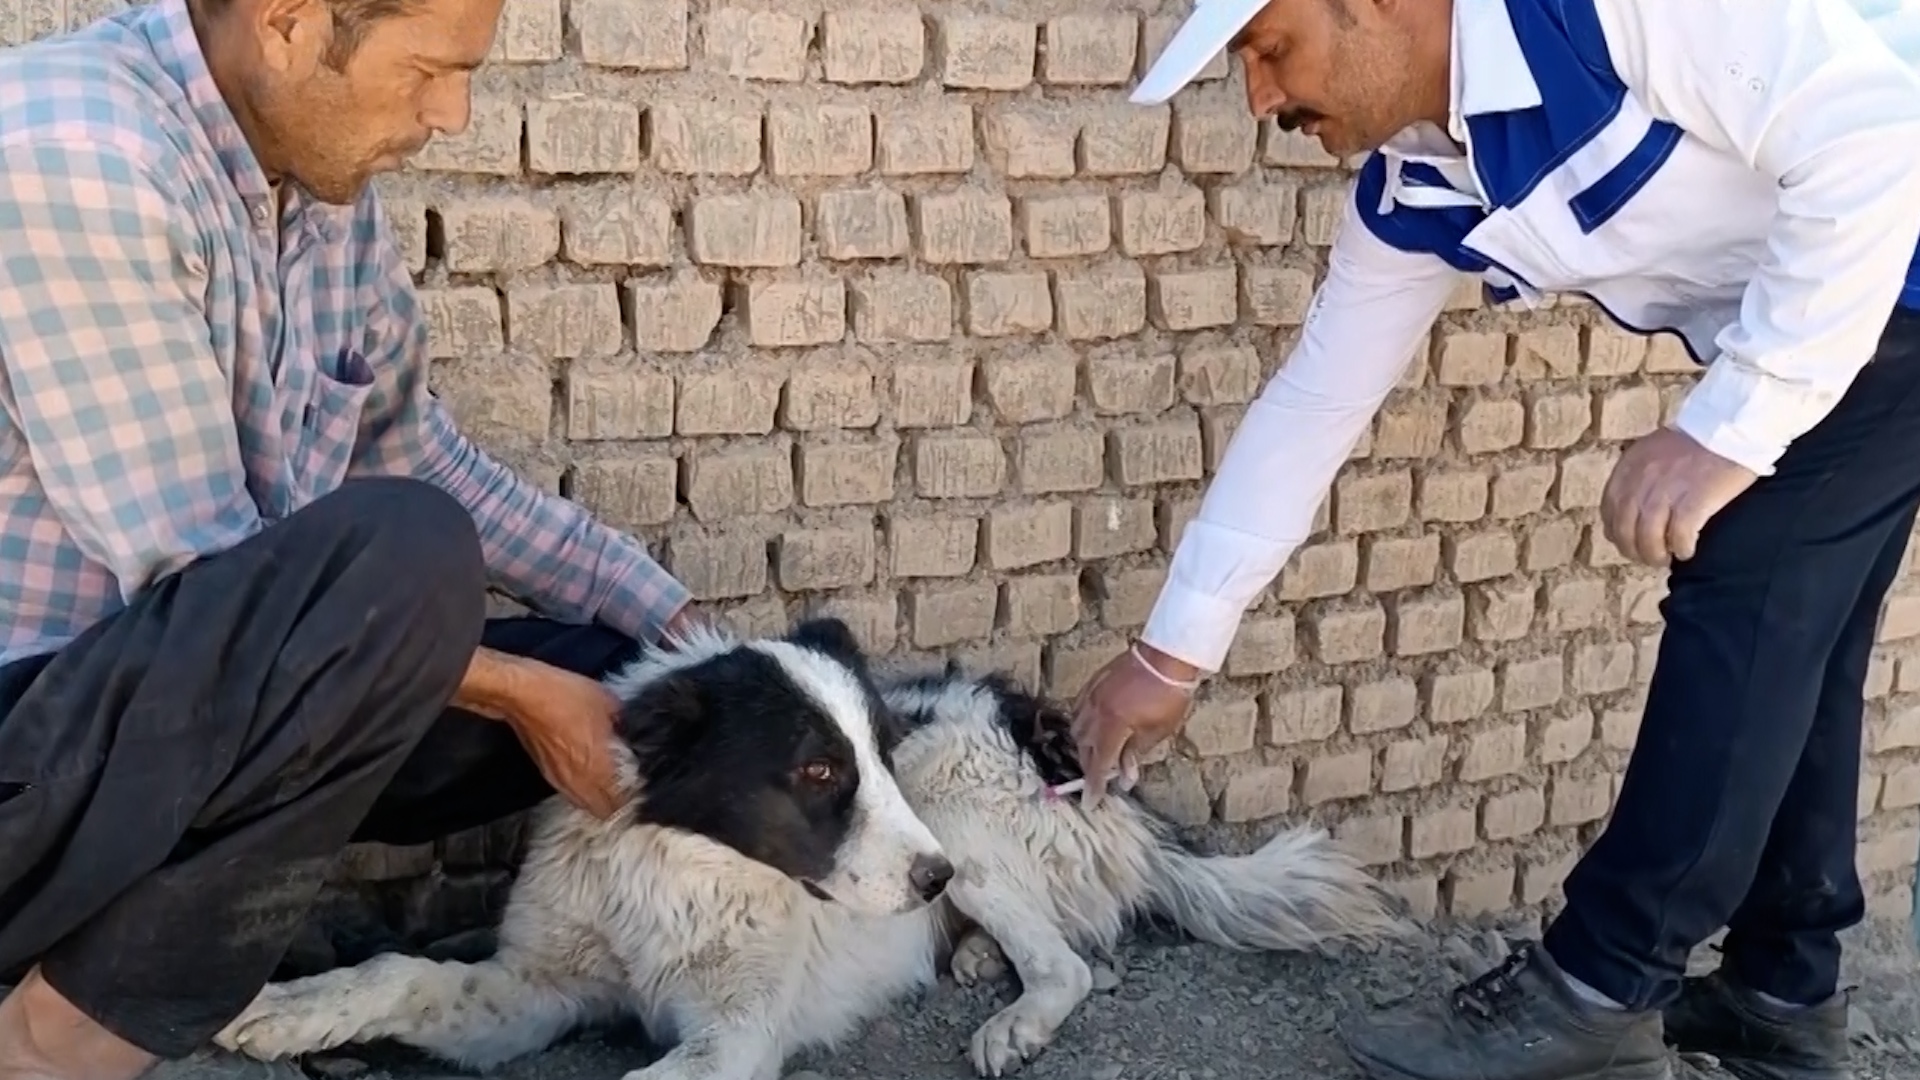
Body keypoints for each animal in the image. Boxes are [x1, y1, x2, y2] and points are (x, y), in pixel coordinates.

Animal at [217, 614, 1413, 1076]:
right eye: (818, 773)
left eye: (876, 752)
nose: (928, 878)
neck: (678, 873)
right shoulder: (533, 989)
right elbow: (401, 973)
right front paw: (286, 1007)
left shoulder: (734, 1037)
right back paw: (969, 954)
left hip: (961, 802)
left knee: (1076, 966)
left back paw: (1011, 1018)